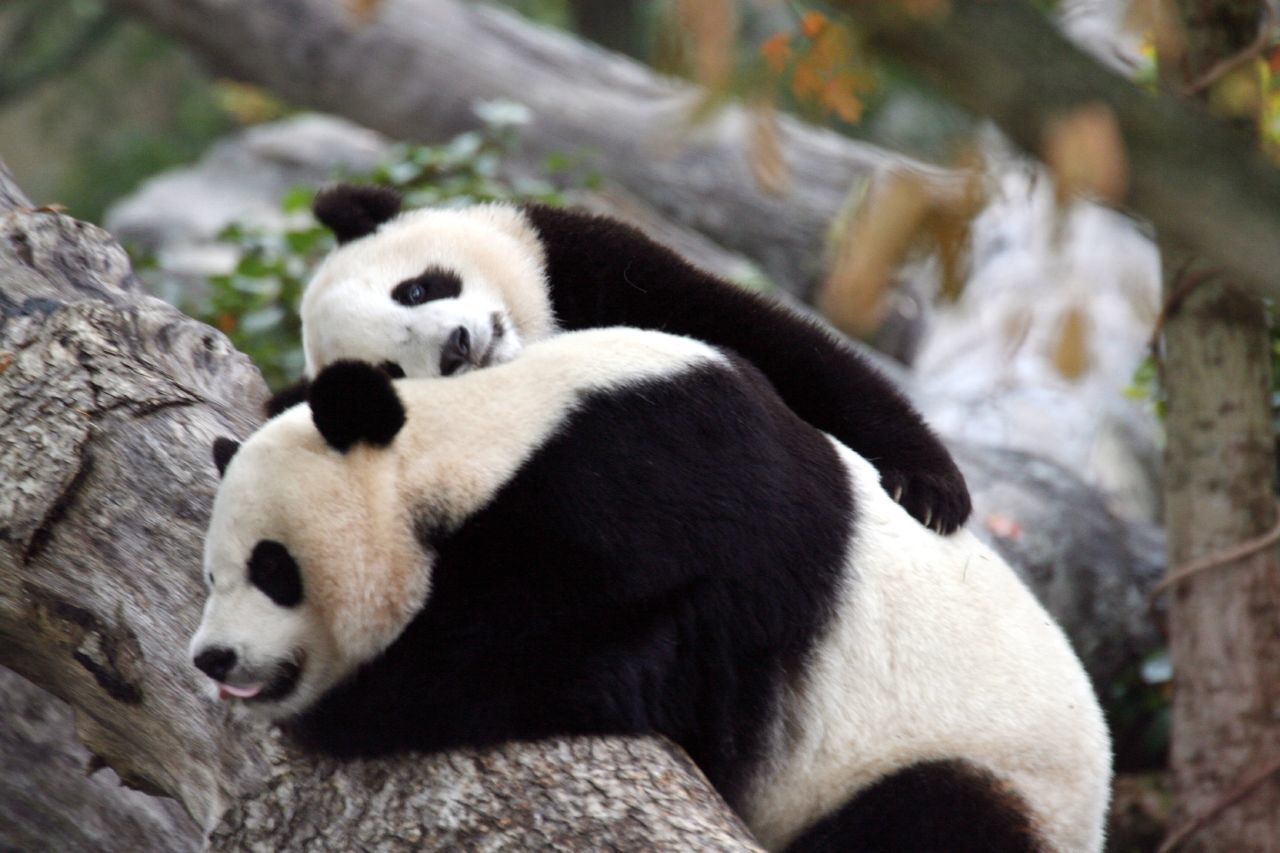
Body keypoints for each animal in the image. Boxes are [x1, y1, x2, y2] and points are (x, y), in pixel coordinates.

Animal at [191, 327, 1111, 852]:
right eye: (211, 572)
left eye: (273, 567)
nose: (213, 657)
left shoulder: (656, 491)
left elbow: (565, 652)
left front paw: (349, 706)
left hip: (987, 773)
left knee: (932, 813)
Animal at [273, 184, 971, 535]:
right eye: (391, 370)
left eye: (415, 290)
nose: (457, 348)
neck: (538, 334)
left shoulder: (591, 264)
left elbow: (786, 349)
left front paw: (930, 489)